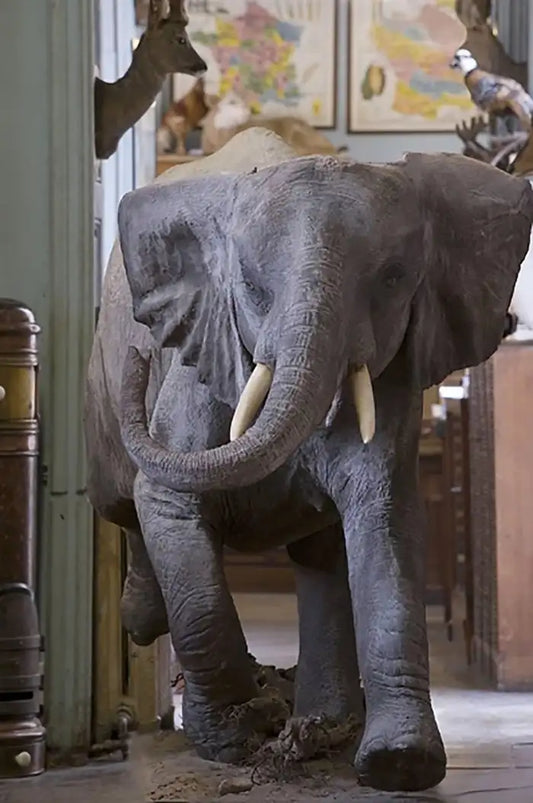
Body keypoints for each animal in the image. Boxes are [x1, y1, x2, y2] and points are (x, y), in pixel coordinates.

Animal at [85, 127, 533, 793]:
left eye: (394, 279)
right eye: (250, 287)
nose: (142, 361)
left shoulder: (393, 375)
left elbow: (385, 517)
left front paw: (399, 763)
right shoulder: (202, 363)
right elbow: (168, 502)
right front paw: (240, 732)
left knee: (320, 559)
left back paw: (324, 726)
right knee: (122, 500)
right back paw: (149, 622)